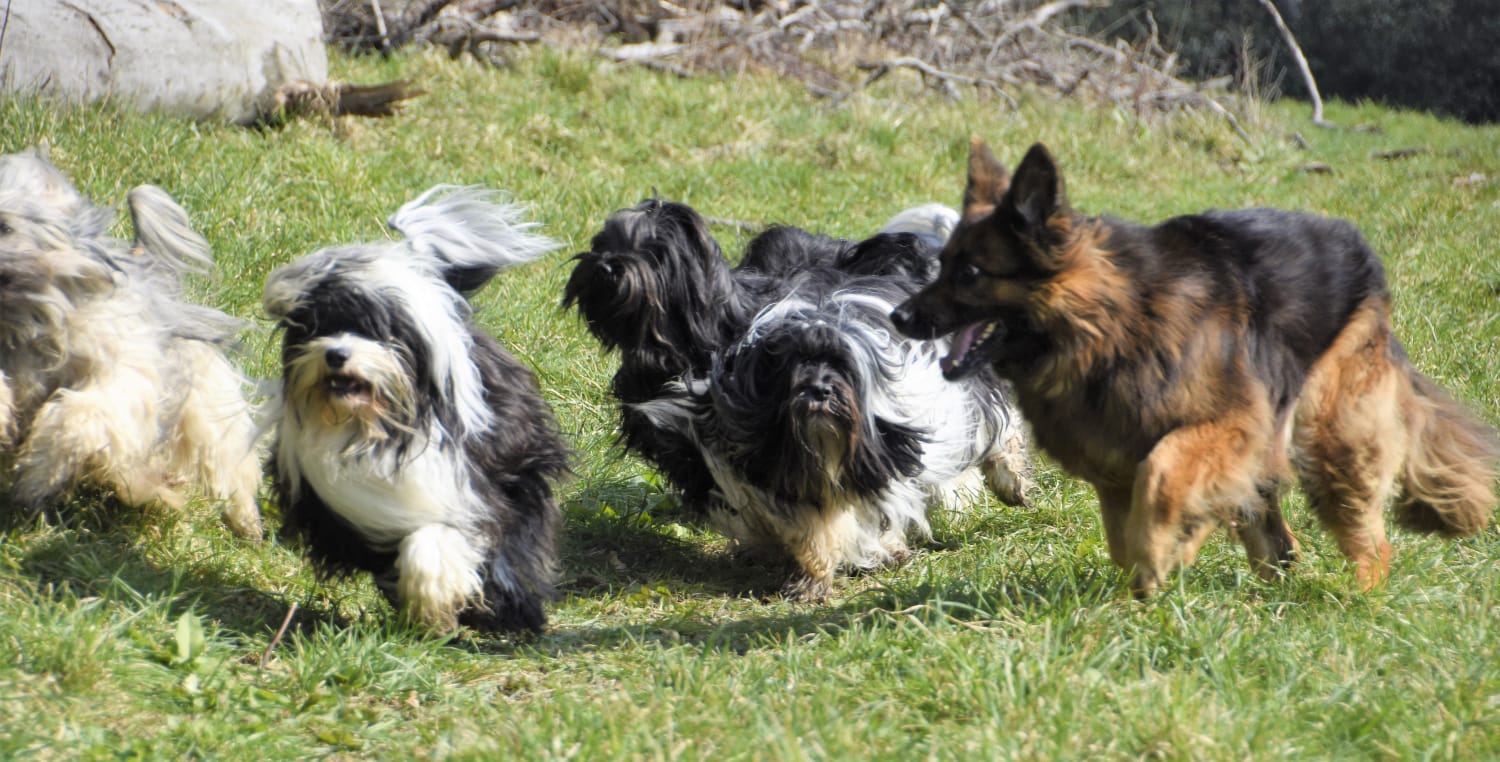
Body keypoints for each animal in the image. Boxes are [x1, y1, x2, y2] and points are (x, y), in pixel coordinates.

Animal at [0, 148, 263, 538]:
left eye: (5, 226)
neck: (28, 317)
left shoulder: (123, 371)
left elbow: (78, 414)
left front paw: (38, 474)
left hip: (207, 407)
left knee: (230, 461)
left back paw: (246, 522)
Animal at [263, 186, 568, 633]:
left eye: (379, 333)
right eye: (317, 328)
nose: (336, 354)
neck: (378, 428)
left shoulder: (476, 490)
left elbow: (449, 541)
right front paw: (434, 608)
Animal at [637, 272, 1030, 601]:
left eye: (840, 365)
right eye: (794, 365)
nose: (820, 390)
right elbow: (811, 530)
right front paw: (809, 578)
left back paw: (1011, 484)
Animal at [892, 138, 1499, 596]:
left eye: (970, 273)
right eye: (941, 264)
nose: (900, 316)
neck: (1111, 326)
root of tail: (1360, 252)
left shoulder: (1226, 427)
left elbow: (1162, 480)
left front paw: (1171, 553)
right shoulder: (1115, 463)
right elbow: (1127, 539)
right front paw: (1146, 587)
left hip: (1331, 433)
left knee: (1365, 534)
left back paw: (1362, 596)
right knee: (1278, 543)